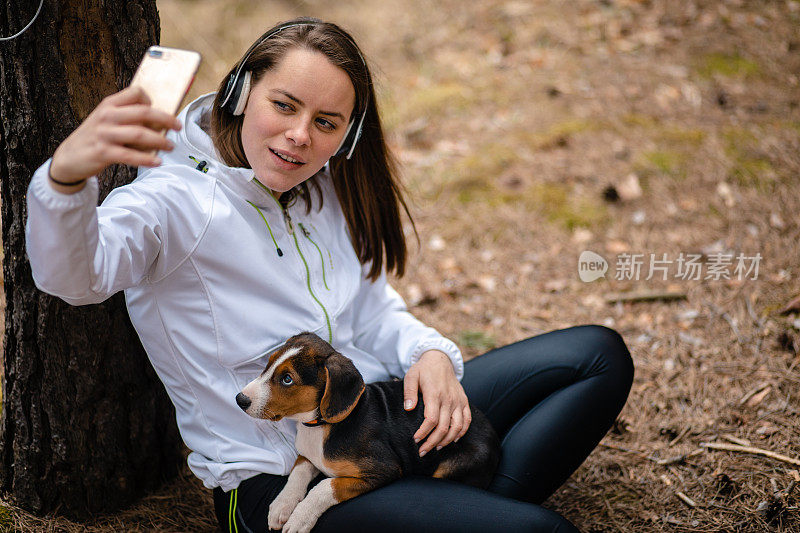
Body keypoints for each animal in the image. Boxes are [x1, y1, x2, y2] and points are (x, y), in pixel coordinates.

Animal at [236, 330, 500, 528]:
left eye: (287, 379)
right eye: (268, 364)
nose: (240, 399)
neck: (321, 426)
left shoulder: (382, 470)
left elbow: (326, 486)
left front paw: (300, 517)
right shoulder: (307, 456)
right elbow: (297, 471)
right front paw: (282, 505)